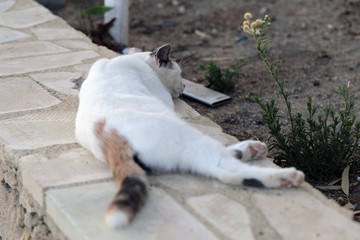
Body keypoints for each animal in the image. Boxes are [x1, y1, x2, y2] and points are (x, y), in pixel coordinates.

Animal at [75, 43, 304, 229]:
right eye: (180, 73)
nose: (185, 86)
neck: (130, 60)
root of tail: (111, 142)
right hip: (188, 137)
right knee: (223, 169)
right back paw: (286, 176)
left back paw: (251, 149)